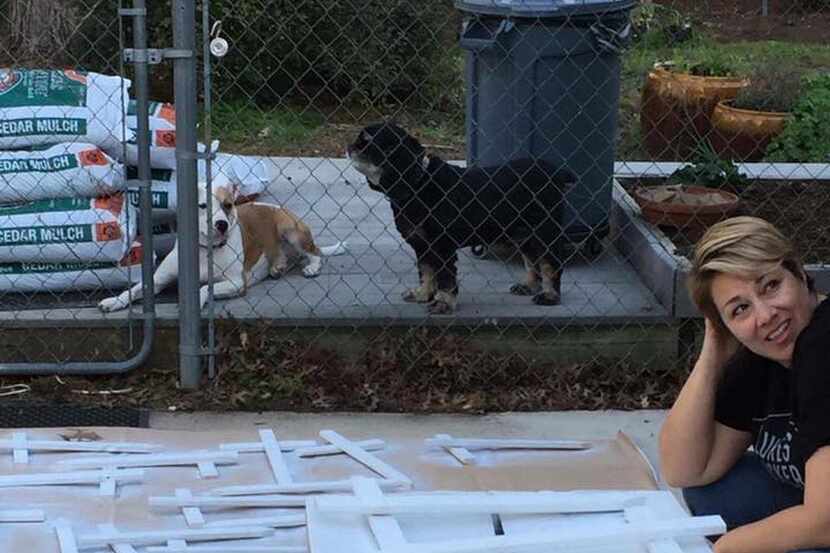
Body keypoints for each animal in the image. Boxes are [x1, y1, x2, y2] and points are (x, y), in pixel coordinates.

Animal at [99, 182, 346, 308]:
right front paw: (114, 301)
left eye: (227, 205)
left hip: (290, 229)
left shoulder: (236, 283)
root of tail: (278, 207)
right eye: (202, 206)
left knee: (314, 252)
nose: (221, 224)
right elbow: (132, 290)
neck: (204, 250)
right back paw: (278, 267)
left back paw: (311, 267)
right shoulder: (157, 280)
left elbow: (204, 288)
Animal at [348, 122, 576, 312]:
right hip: (522, 233)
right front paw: (423, 294)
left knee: (550, 263)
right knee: (532, 260)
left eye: (366, 142)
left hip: (545, 230)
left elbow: (445, 278)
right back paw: (528, 286)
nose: (350, 146)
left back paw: (549, 296)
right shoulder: (422, 245)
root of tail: (557, 173)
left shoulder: (442, 246)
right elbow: (426, 271)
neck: (417, 183)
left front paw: (442, 303)